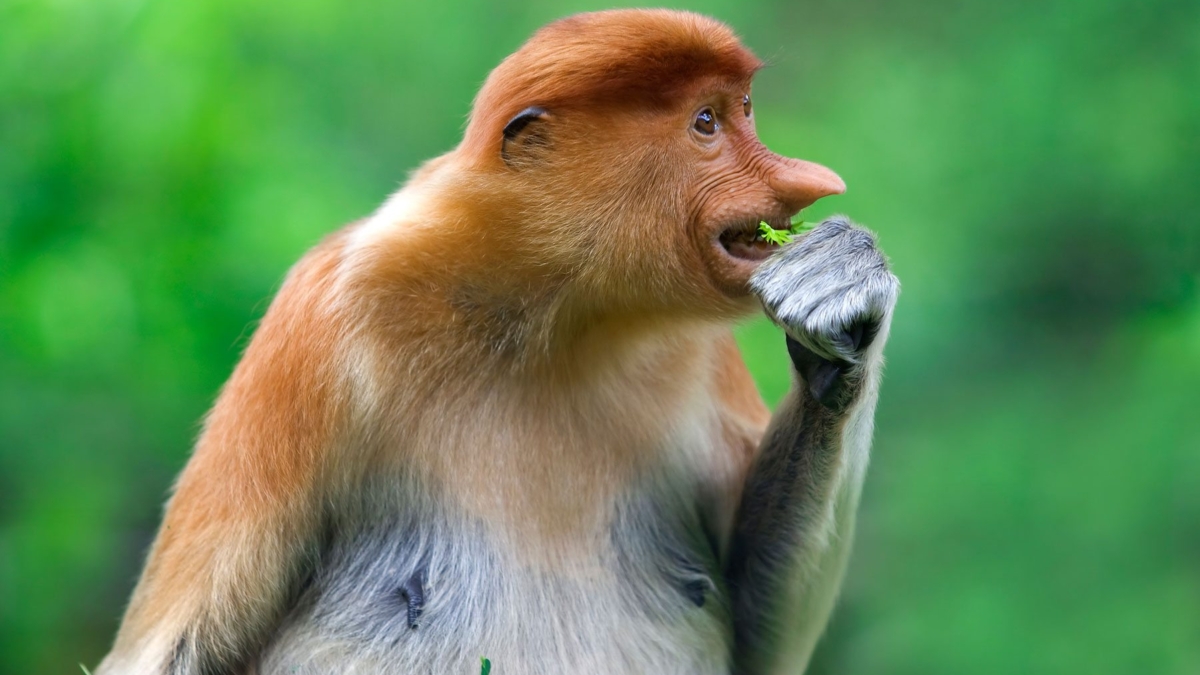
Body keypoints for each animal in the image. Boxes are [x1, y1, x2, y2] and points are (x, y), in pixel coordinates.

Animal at [96, 9, 898, 675]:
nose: (810, 182)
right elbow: (172, 650)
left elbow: (762, 629)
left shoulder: (699, 350)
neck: (550, 314)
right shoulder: (321, 320)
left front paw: (840, 295)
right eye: (707, 122)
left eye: (746, 110)